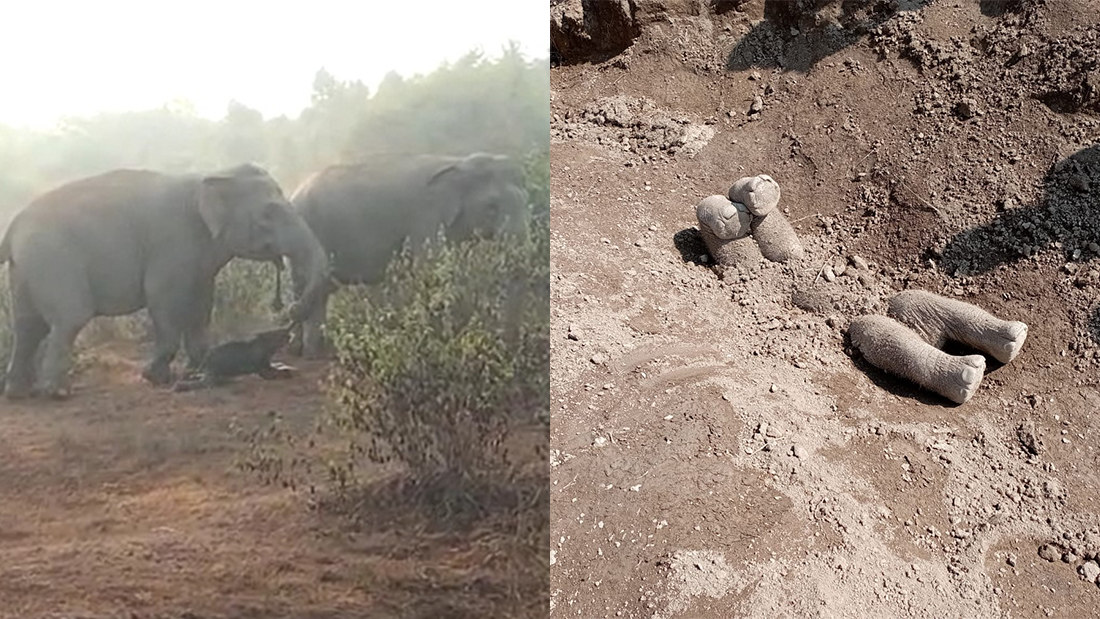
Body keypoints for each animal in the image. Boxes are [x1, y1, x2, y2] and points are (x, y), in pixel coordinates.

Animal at [0, 162, 330, 400]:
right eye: (269, 213)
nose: (290, 309)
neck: (213, 175)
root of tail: (13, 226)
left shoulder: (200, 257)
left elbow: (201, 302)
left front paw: (198, 367)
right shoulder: (172, 244)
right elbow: (163, 299)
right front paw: (156, 377)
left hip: (27, 268)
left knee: (27, 325)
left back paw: (18, 393)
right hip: (52, 261)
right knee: (68, 318)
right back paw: (56, 393)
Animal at [288, 152, 532, 358]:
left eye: (526, 201)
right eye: (492, 207)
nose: (509, 348)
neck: (459, 162)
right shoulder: (425, 220)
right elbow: (429, 271)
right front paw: (439, 343)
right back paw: (307, 352)